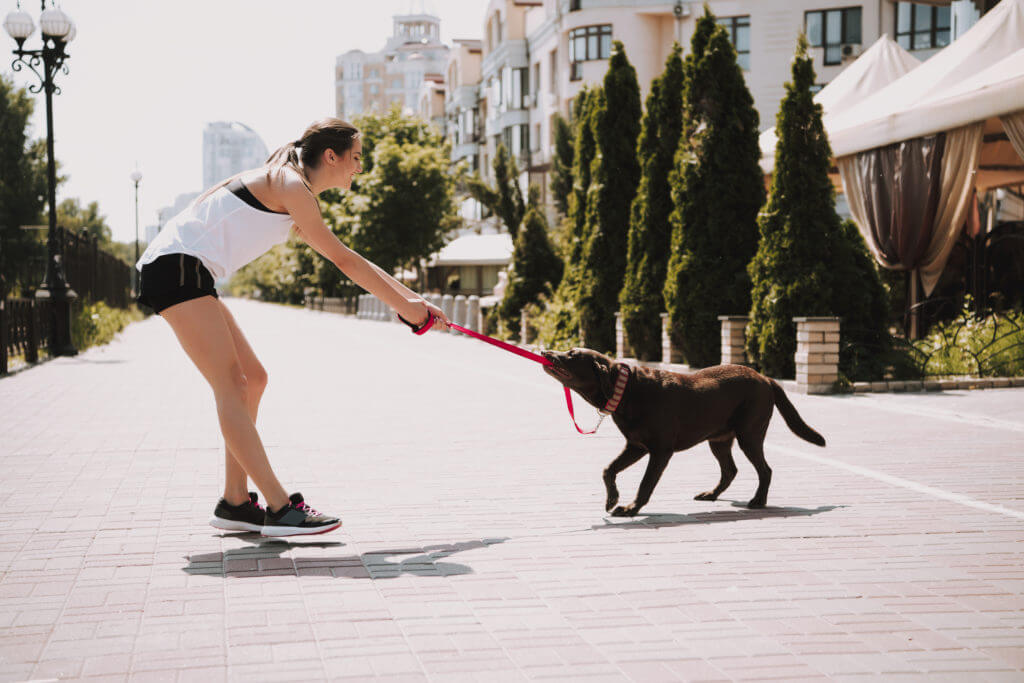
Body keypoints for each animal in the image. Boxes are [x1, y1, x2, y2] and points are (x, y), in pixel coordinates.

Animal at [544, 350, 823, 516]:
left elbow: (646, 483)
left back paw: (758, 501)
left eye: (571, 355)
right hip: (719, 439)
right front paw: (612, 499)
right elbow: (608, 469)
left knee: (765, 470)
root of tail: (765, 378)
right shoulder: (636, 446)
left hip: (749, 434)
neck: (625, 390)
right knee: (730, 470)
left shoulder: (660, 451)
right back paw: (711, 494)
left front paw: (632, 508)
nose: (546, 352)